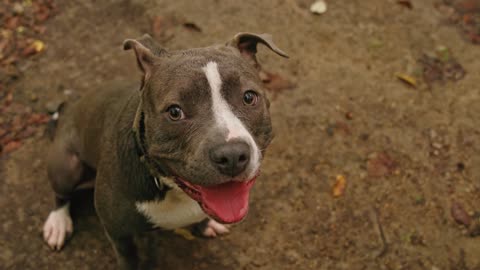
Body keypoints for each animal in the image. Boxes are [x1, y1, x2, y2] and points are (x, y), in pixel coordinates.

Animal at [41, 31, 286, 268]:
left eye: (249, 97)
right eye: (175, 112)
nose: (232, 155)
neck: (171, 187)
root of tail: (67, 112)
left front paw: (205, 224)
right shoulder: (120, 236)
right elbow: (130, 259)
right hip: (66, 166)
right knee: (61, 194)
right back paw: (58, 223)